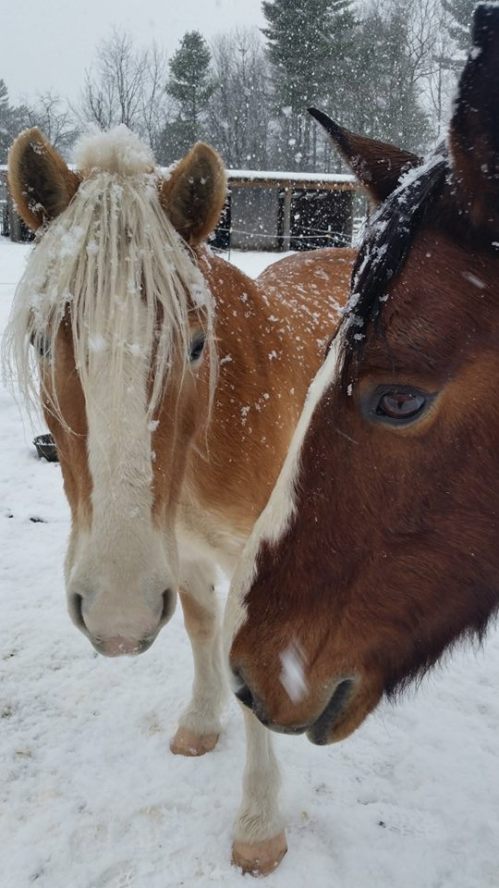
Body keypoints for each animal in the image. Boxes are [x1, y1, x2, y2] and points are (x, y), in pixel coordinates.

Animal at [4, 124, 354, 874]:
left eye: (196, 345)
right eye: (41, 340)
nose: (116, 616)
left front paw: (258, 826)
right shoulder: (182, 552)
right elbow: (201, 632)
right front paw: (199, 724)